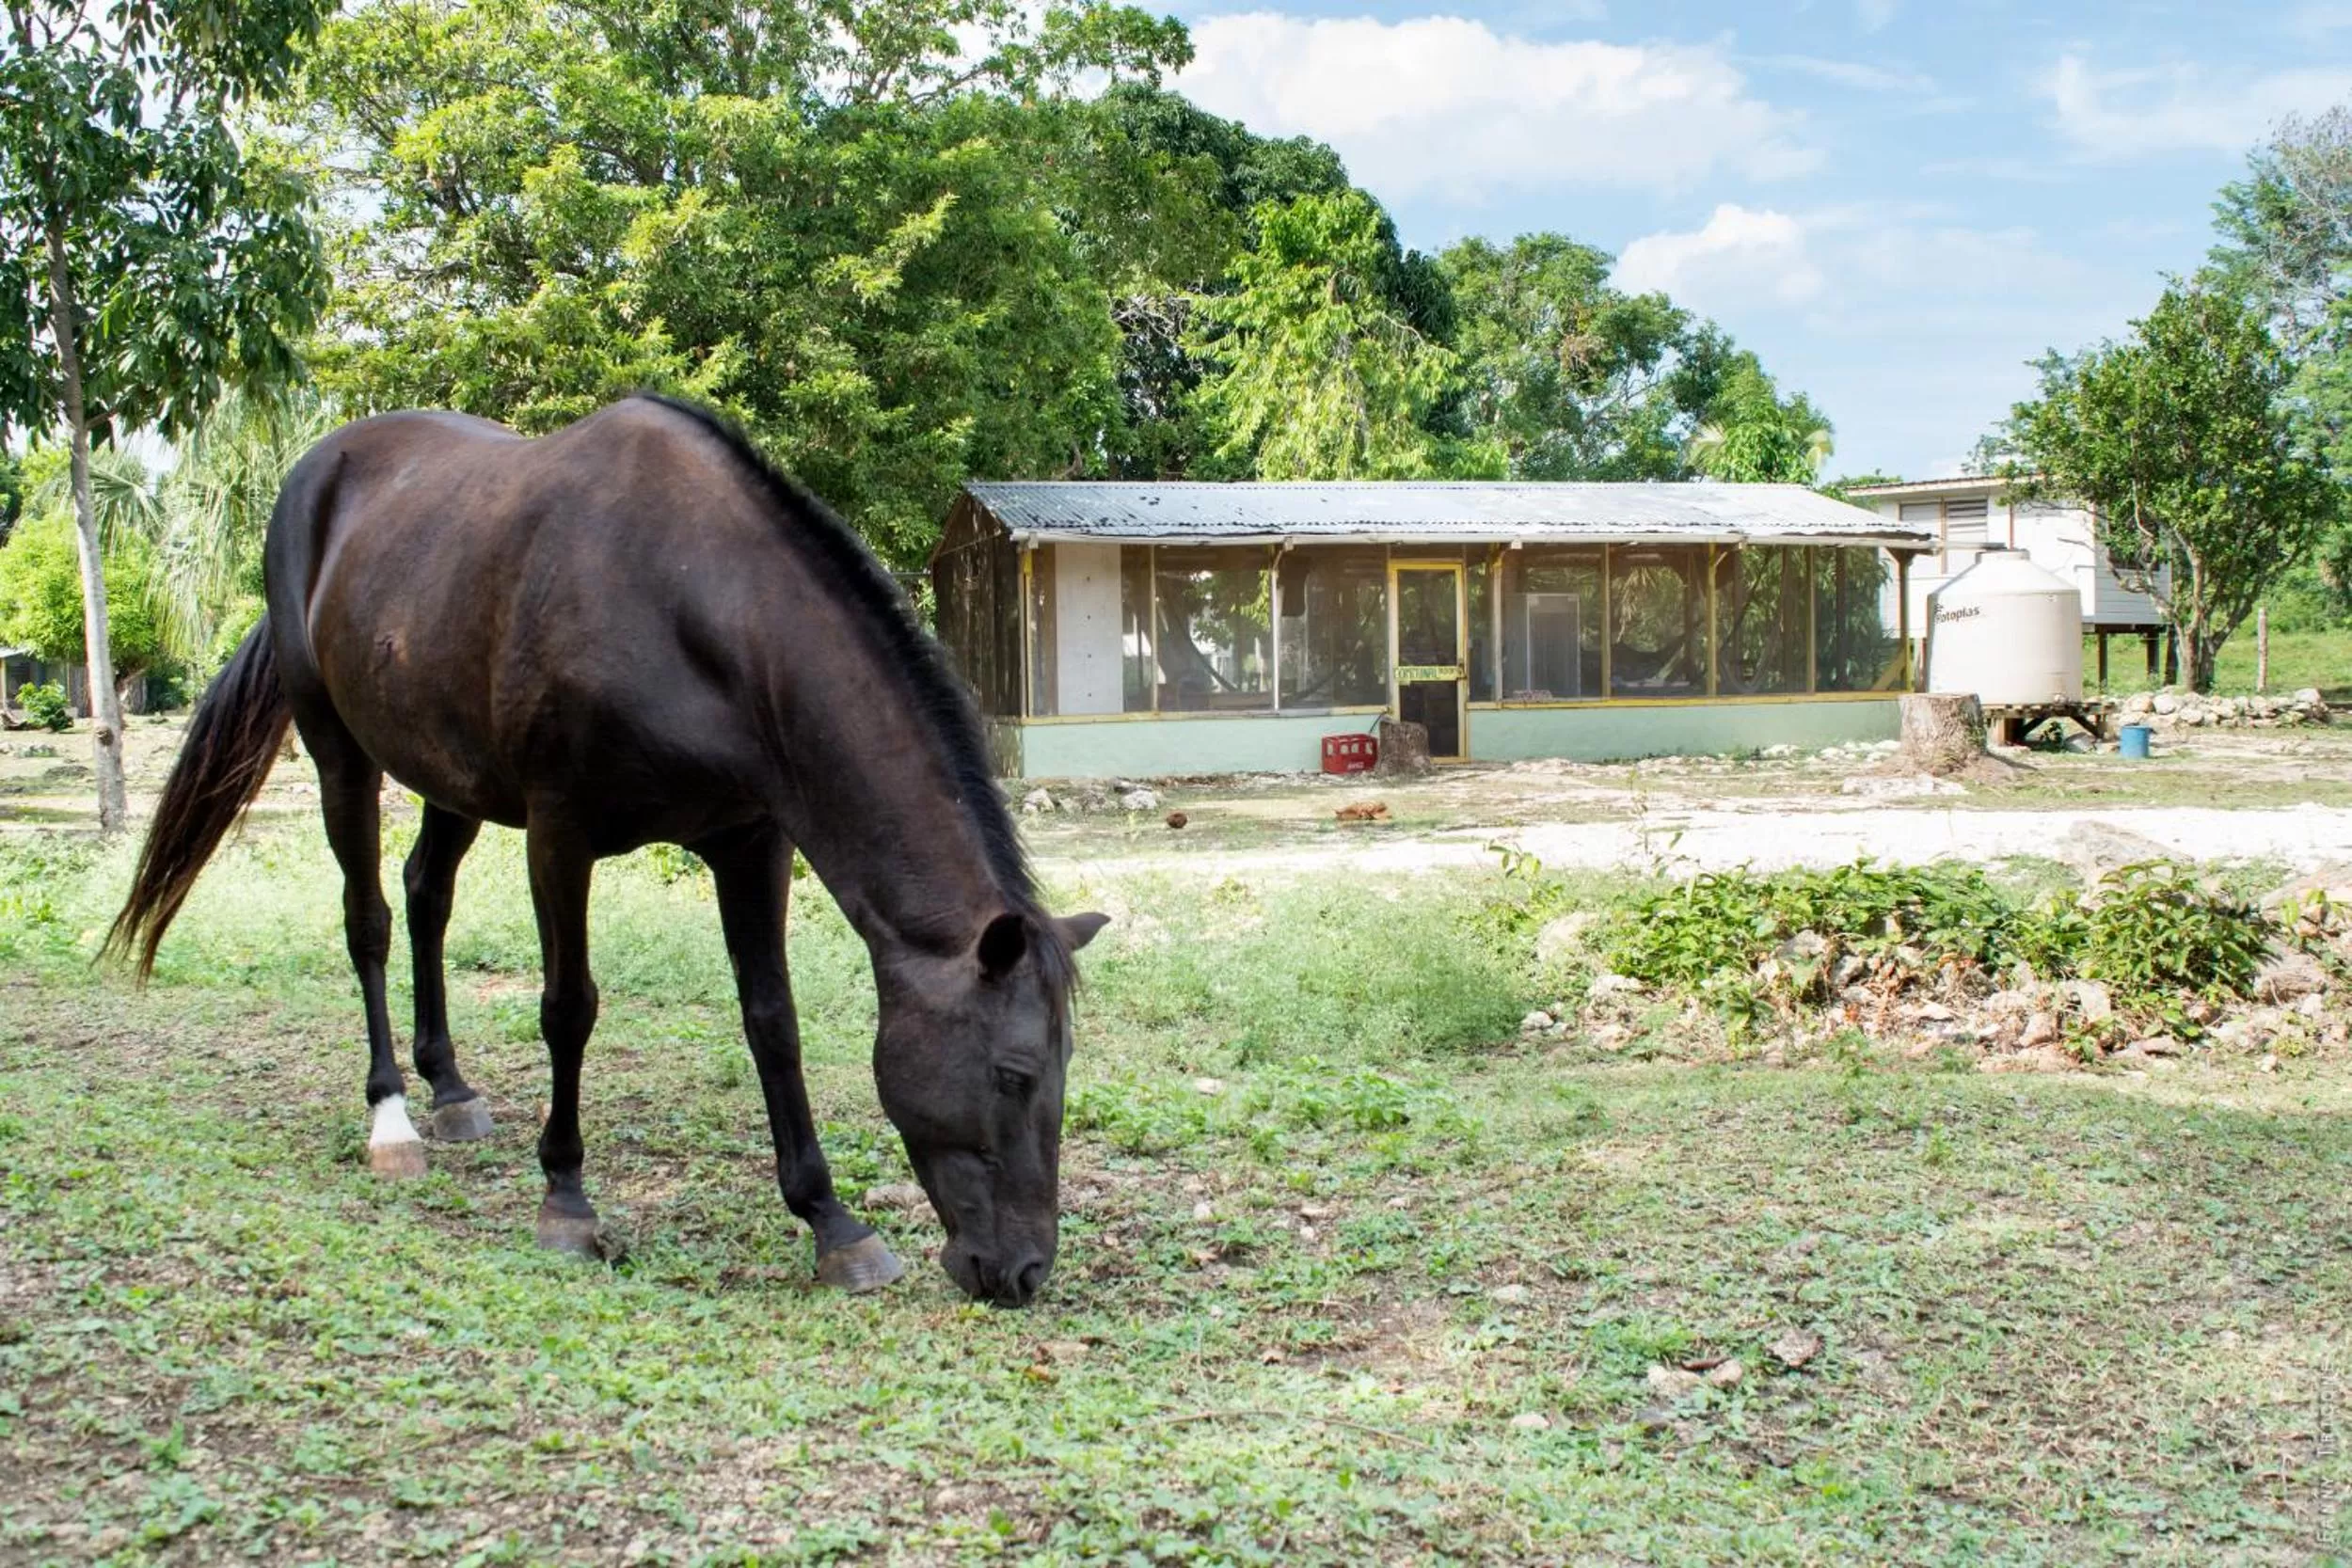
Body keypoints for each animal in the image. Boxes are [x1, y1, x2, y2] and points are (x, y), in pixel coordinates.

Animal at [106, 394, 1107, 1308]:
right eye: (1014, 1073)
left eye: (1063, 1070)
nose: (1023, 1270)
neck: (689, 605)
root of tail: (315, 471)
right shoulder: (560, 833)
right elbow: (569, 1008)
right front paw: (566, 1200)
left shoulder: (751, 842)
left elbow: (772, 1020)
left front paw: (833, 1223)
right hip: (339, 752)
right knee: (370, 921)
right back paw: (393, 1118)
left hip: (451, 777)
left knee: (427, 895)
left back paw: (451, 1088)